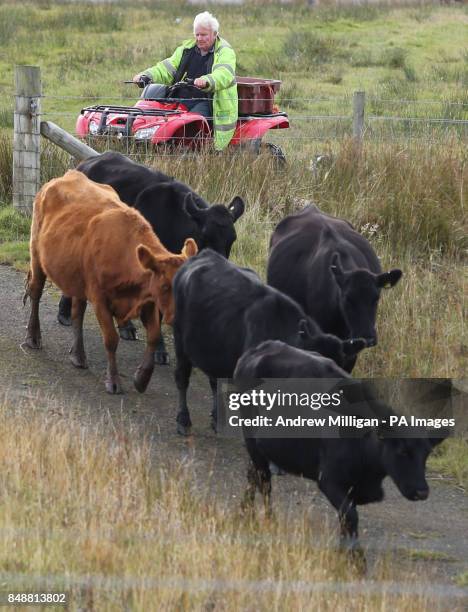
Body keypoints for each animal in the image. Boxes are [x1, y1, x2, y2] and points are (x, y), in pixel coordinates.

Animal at [23, 170, 197, 394]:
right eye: (166, 286)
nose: (180, 319)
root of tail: (69, 174)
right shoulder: (100, 298)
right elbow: (111, 339)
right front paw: (113, 380)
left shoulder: (148, 300)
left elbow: (153, 336)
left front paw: (142, 379)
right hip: (37, 254)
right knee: (36, 292)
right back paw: (33, 337)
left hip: (78, 278)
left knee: (77, 313)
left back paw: (78, 355)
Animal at [58, 153, 245, 364]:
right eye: (205, 235)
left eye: (232, 239)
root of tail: (85, 164)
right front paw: (159, 350)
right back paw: (64, 313)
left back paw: (125, 327)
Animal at [172, 249, 366, 436]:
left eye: (341, 366)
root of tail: (204, 254)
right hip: (180, 339)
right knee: (182, 377)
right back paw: (183, 420)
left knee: (213, 380)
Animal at [234, 342, 446, 560]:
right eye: (402, 451)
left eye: (427, 454)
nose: (422, 491)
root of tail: (262, 347)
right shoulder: (329, 482)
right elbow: (350, 517)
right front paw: (356, 560)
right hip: (251, 439)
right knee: (264, 483)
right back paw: (269, 520)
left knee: (253, 475)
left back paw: (245, 512)